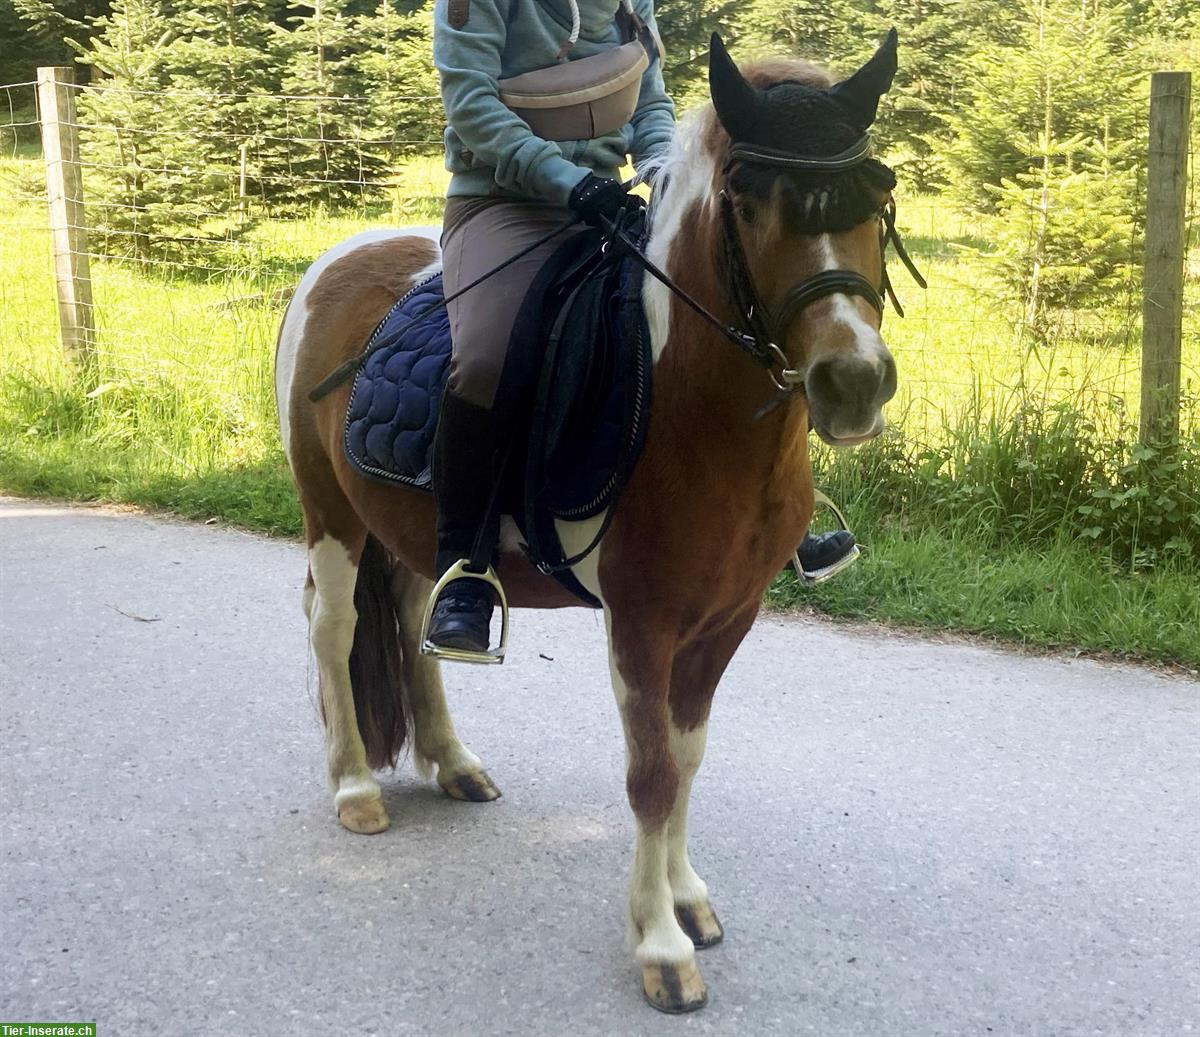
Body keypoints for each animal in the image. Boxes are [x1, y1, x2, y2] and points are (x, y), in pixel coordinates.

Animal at [275, 31, 904, 1014]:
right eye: (749, 204)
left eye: (876, 198)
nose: (854, 382)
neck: (684, 403)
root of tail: (338, 259)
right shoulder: (643, 623)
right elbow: (650, 774)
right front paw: (659, 944)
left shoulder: (726, 620)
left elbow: (687, 756)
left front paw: (687, 901)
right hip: (331, 514)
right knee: (333, 628)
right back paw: (352, 787)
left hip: (413, 530)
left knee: (417, 619)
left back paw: (452, 760)